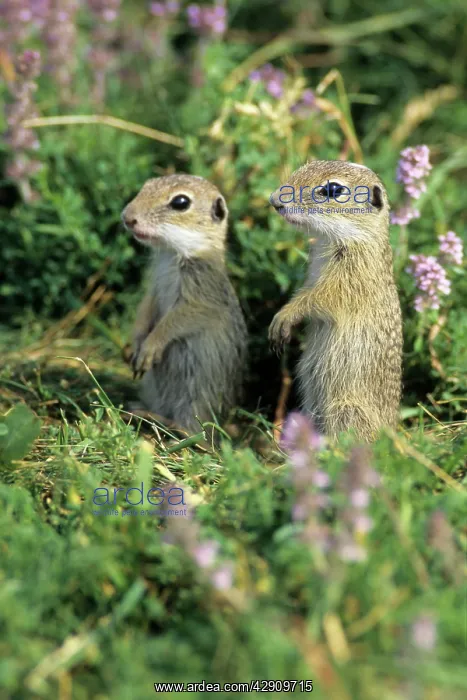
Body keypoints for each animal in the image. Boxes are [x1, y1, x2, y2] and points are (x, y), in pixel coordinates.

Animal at [121, 174, 247, 434]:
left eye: (181, 202)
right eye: (147, 185)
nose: (127, 217)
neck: (172, 254)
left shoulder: (199, 297)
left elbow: (175, 321)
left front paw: (150, 347)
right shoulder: (153, 289)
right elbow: (144, 310)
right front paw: (136, 343)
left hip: (197, 396)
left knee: (194, 431)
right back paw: (140, 410)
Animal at [269, 160, 403, 442]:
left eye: (333, 189)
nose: (274, 200)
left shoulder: (349, 280)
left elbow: (316, 299)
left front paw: (284, 317)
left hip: (345, 411)